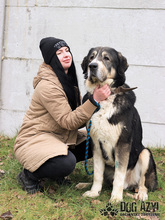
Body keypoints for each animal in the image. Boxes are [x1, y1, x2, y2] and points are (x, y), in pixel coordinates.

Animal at [81, 46, 157, 203]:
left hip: (145, 153)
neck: (105, 98)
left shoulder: (122, 143)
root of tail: (130, 185)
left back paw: (141, 194)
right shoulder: (95, 144)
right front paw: (94, 192)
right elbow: (97, 173)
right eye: (91, 57)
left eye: (106, 58)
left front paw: (116, 197)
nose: (92, 66)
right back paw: (84, 184)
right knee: (104, 180)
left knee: (143, 183)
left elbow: (119, 175)